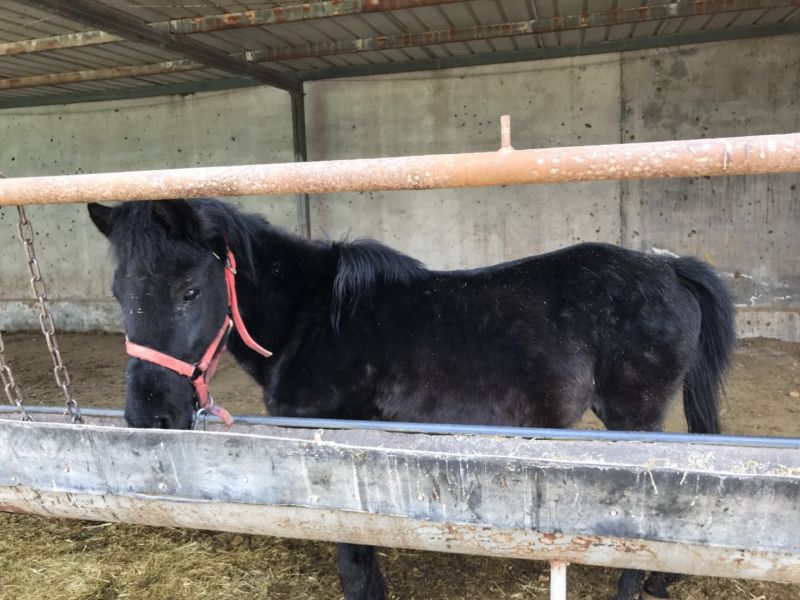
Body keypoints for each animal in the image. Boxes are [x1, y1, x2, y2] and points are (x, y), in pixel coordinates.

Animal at [88, 197, 735, 600]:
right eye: (119, 292)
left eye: (190, 291)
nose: (149, 415)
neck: (310, 317)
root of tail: (668, 268)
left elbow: (354, 560)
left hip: (635, 416)